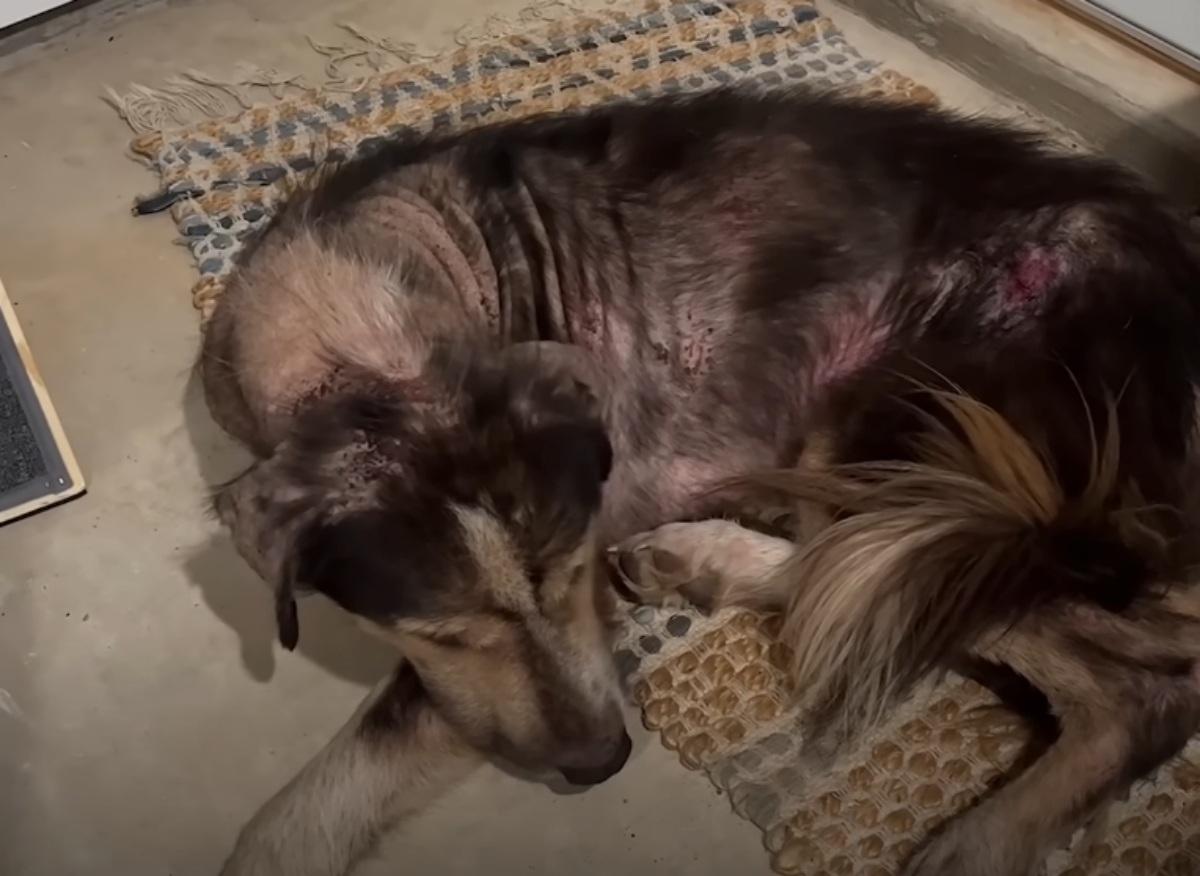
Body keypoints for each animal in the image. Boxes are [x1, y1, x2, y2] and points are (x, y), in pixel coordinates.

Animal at [201, 90, 1200, 873]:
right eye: (444, 632)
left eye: (570, 573)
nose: (604, 763)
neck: (366, 343)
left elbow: (322, 791)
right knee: (875, 571)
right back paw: (703, 558)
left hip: (935, 440)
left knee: (1134, 682)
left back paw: (977, 846)